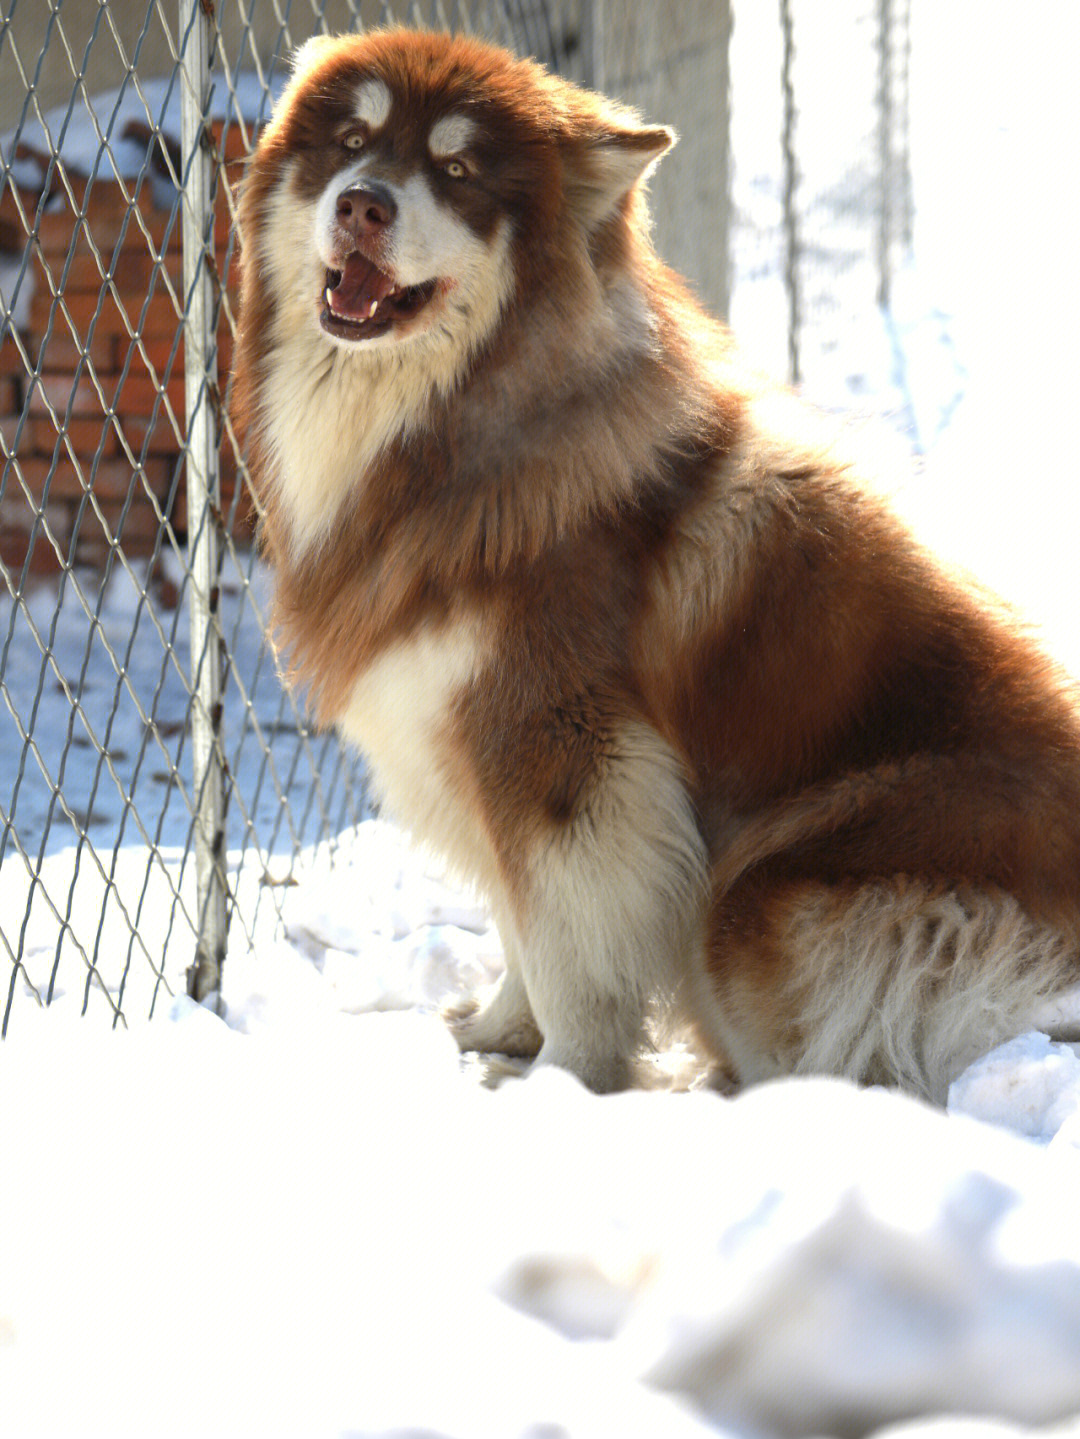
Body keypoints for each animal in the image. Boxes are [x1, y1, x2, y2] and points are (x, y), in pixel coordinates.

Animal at [234, 28, 1080, 1093]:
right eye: (351, 141)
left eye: (458, 172)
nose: (362, 203)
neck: (449, 423)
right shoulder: (479, 749)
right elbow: (516, 931)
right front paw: (498, 1037)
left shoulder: (564, 757)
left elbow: (565, 949)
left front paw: (565, 1080)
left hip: (759, 893)